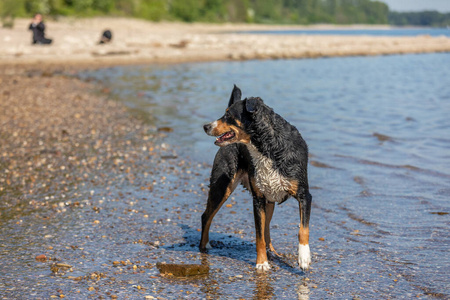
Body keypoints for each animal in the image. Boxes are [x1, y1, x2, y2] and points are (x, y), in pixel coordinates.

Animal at [201, 85, 312, 272]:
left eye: (228, 115)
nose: (206, 126)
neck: (268, 148)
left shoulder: (304, 195)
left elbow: (302, 230)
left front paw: (304, 257)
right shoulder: (257, 199)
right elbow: (258, 235)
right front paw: (261, 263)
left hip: (269, 201)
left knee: (267, 229)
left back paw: (272, 252)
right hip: (222, 187)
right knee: (206, 216)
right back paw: (203, 247)